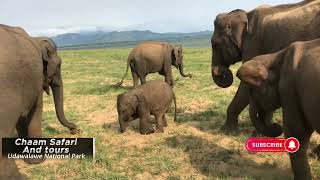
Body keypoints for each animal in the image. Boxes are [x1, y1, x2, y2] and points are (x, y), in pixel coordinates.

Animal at [210, 0, 320, 133]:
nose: (219, 70)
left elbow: (245, 87)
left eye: (214, 44)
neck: (246, 14)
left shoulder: (254, 44)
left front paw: (227, 130)